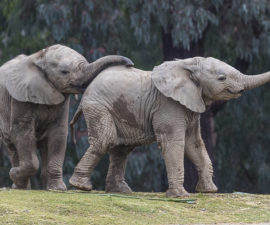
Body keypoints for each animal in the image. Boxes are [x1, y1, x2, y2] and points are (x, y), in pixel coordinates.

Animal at [69, 57, 270, 196]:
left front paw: (209, 191)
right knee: (106, 139)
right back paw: (81, 186)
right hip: (98, 106)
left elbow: (194, 144)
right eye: (222, 78)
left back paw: (120, 191)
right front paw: (181, 196)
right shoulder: (169, 104)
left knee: (122, 148)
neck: (189, 64)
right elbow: (174, 142)